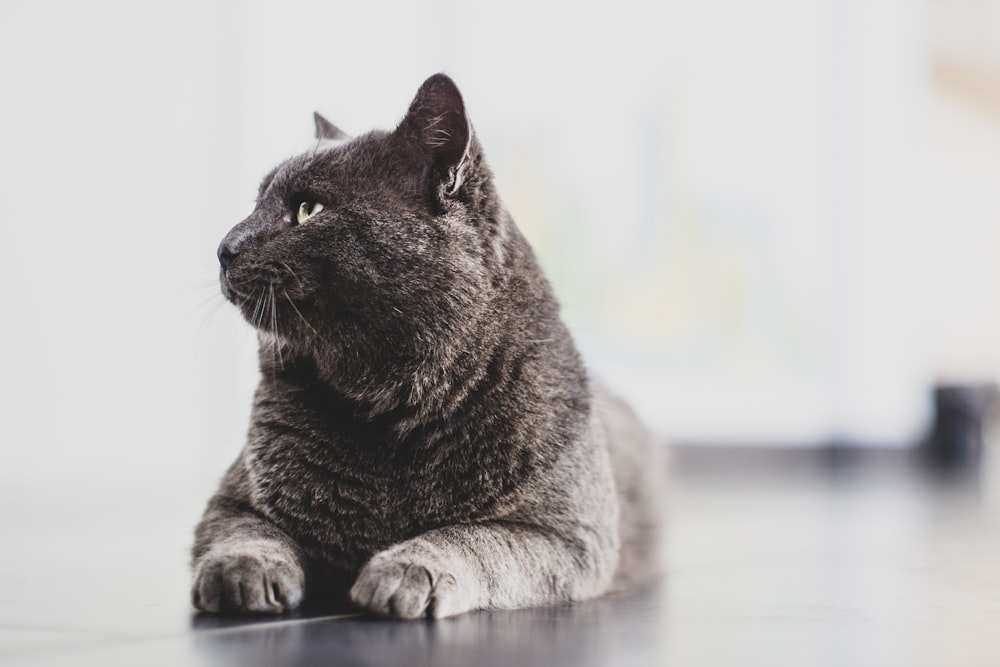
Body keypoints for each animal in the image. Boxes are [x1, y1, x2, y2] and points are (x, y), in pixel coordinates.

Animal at [193, 74, 664, 620]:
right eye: (255, 203)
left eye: (309, 209)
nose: (224, 247)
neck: (389, 405)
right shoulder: (231, 499)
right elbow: (246, 533)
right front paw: (241, 573)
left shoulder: (567, 538)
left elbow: (474, 538)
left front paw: (407, 571)